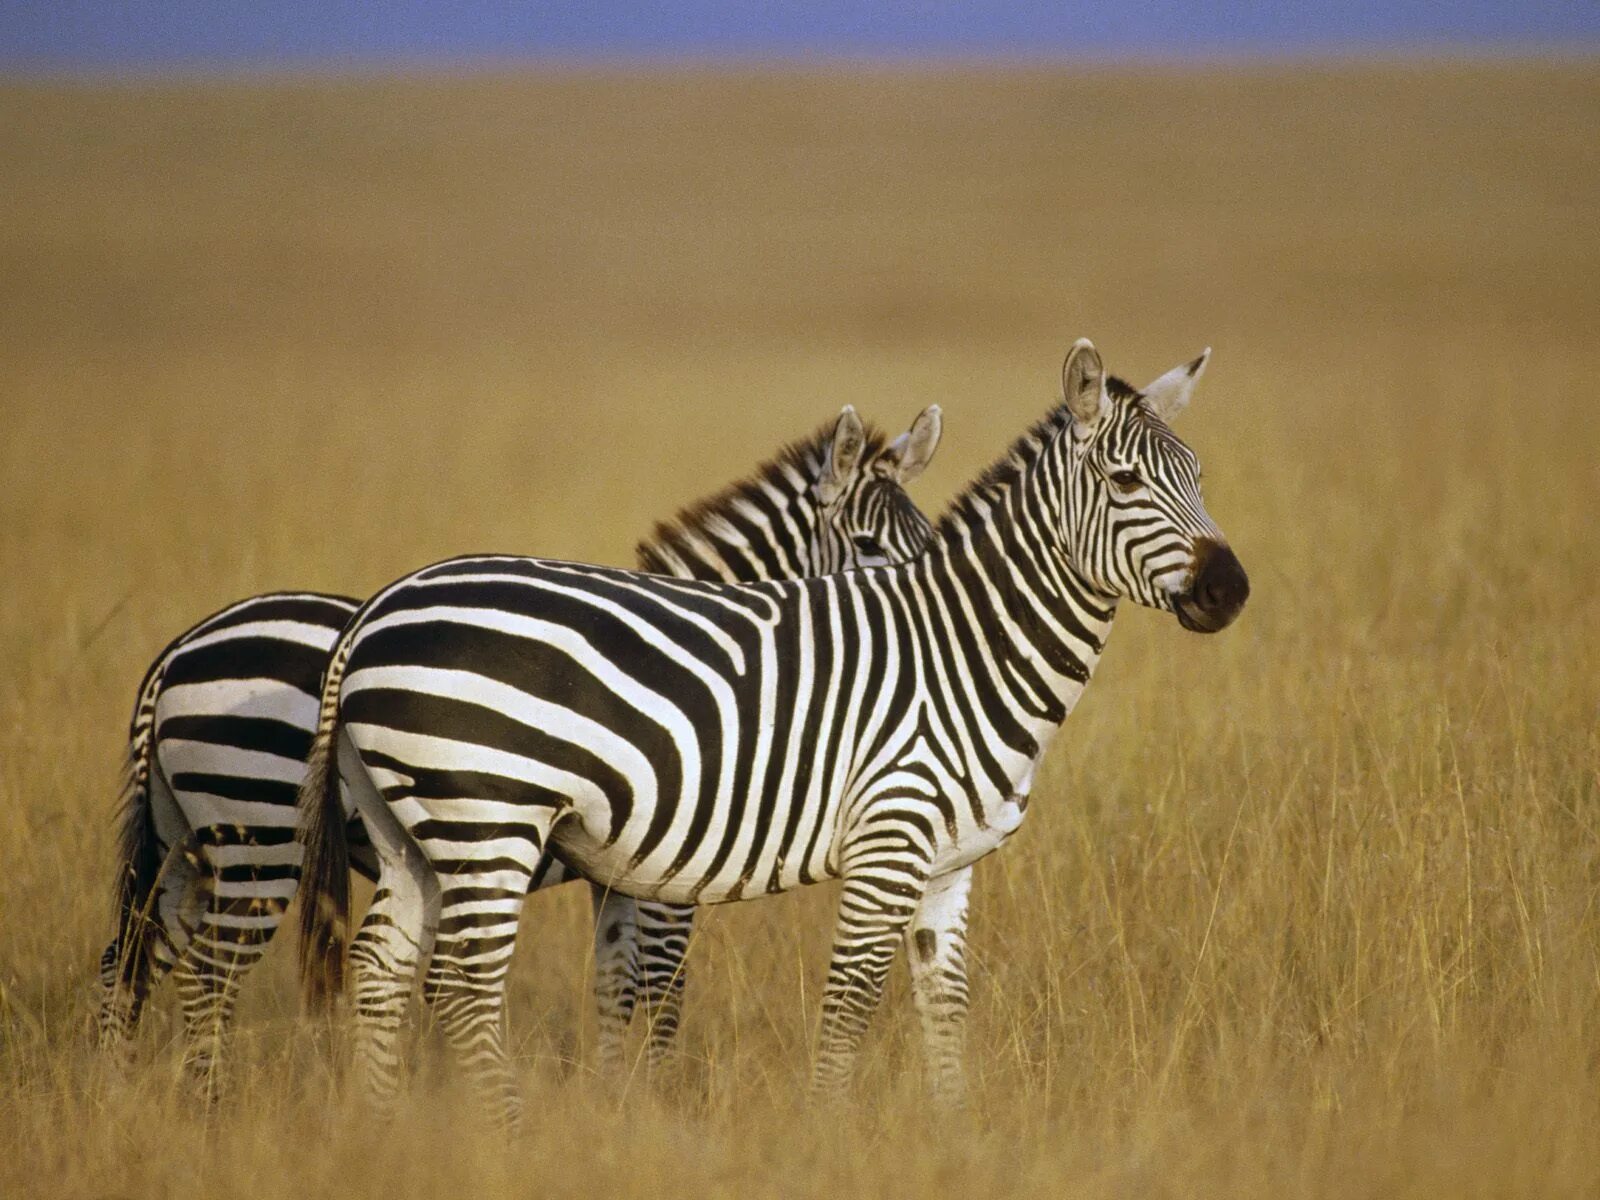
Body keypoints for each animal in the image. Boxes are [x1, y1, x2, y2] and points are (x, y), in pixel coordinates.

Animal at [97, 403, 943, 1095]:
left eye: (930, 541)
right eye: (869, 546)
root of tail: (174, 656)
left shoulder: (620, 875)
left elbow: (614, 985)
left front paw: (614, 1102)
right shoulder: (669, 875)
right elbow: (661, 988)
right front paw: (657, 1101)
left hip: (188, 845)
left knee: (130, 962)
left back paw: (124, 1100)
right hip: (259, 834)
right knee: (206, 975)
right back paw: (208, 1107)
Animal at [296, 338, 1249, 1124]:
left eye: (1200, 477)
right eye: (1125, 484)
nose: (1231, 590)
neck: (963, 652)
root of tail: (377, 609)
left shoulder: (948, 868)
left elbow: (945, 1015)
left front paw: (954, 1139)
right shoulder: (876, 847)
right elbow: (840, 1005)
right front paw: (819, 1137)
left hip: (411, 830)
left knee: (381, 968)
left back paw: (385, 1128)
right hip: (486, 818)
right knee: (463, 987)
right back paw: (507, 1133)